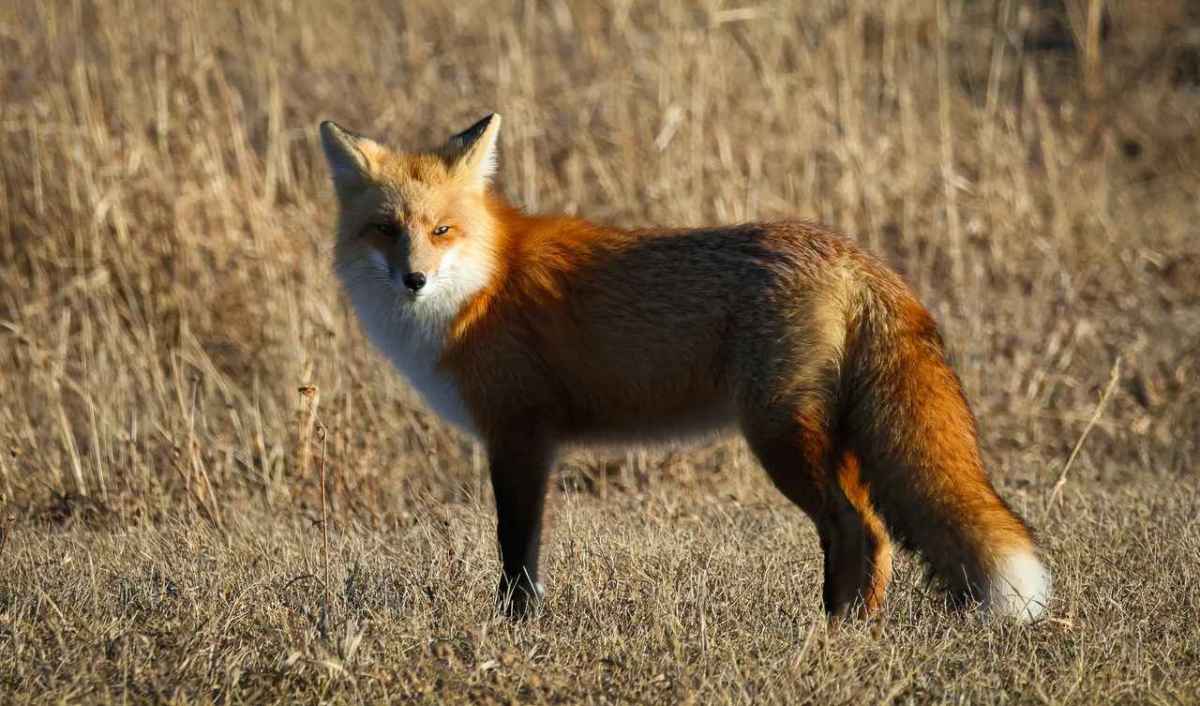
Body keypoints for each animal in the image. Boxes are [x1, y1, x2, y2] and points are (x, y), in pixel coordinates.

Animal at [318, 113, 1051, 623]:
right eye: (386, 230)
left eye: (441, 231)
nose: (412, 279)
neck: (485, 284)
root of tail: (853, 256)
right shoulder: (529, 443)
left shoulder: (519, 437)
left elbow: (516, 551)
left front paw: (514, 628)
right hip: (827, 441)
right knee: (872, 538)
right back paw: (849, 626)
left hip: (780, 436)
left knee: (859, 532)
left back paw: (832, 636)